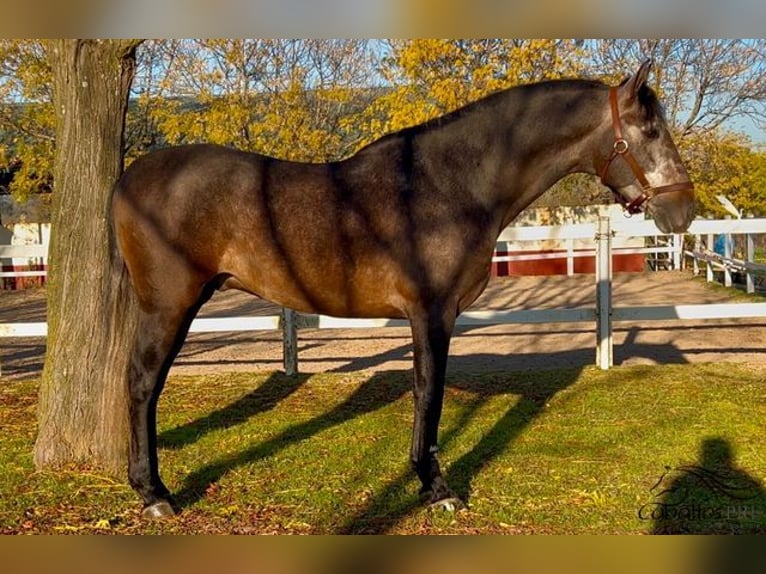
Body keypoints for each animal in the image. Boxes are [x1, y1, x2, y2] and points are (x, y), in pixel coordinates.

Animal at [112, 60, 696, 520]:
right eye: (650, 132)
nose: (684, 210)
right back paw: (154, 494)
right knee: (142, 383)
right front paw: (436, 488)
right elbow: (429, 393)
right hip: (171, 305)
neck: (449, 186)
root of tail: (128, 181)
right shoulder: (433, 313)